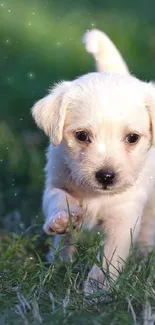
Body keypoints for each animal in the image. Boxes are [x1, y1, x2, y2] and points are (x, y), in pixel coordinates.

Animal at [31, 29, 155, 292]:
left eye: (132, 138)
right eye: (81, 136)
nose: (106, 176)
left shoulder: (124, 218)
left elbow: (109, 256)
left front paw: (97, 290)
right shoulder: (55, 182)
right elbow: (59, 199)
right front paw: (62, 219)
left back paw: (144, 257)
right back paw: (58, 260)